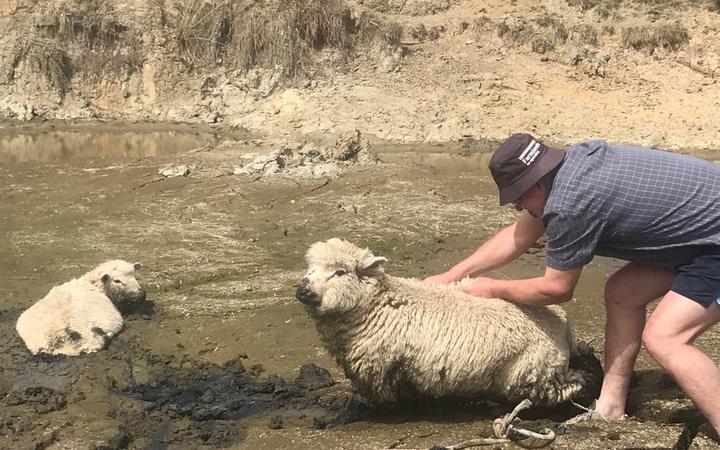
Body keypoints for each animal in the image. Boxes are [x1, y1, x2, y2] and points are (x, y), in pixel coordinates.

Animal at [294, 239, 600, 408]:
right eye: (310, 267)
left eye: (340, 272)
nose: (303, 290)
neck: (379, 306)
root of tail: (562, 321)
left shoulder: (383, 366)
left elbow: (387, 396)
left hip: (533, 373)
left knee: (569, 386)